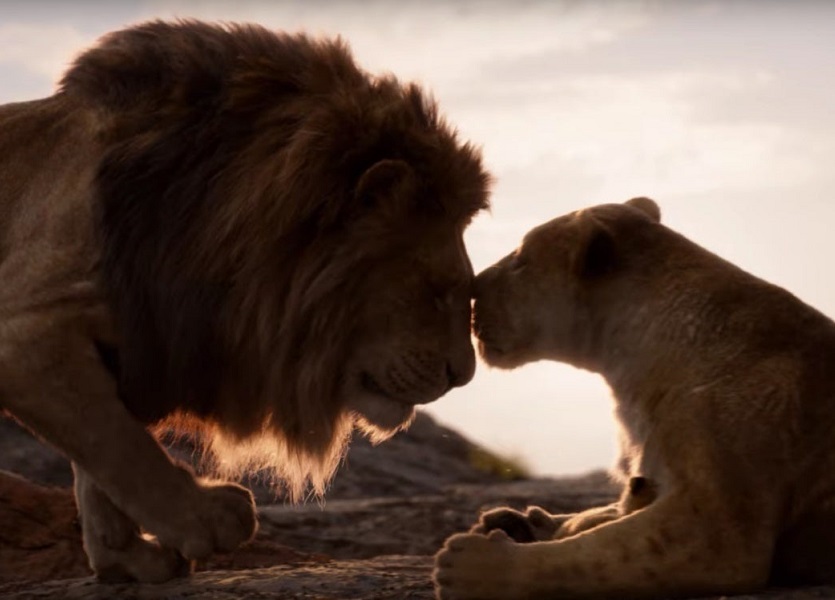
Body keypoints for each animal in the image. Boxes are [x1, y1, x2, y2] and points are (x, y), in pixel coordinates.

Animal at [0, 20, 490, 582]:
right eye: (436, 290)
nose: (463, 375)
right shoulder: (28, 331)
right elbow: (120, 443)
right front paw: (208, 519)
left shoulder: (143, 334)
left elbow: (99, 461)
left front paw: (124, 556)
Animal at [434, 198, 835, 599]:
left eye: (520, 260)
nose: (472, 291)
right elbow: (601, 521)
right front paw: (522, 521)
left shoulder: (722, 528)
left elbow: (592, 555)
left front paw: (470, 566)